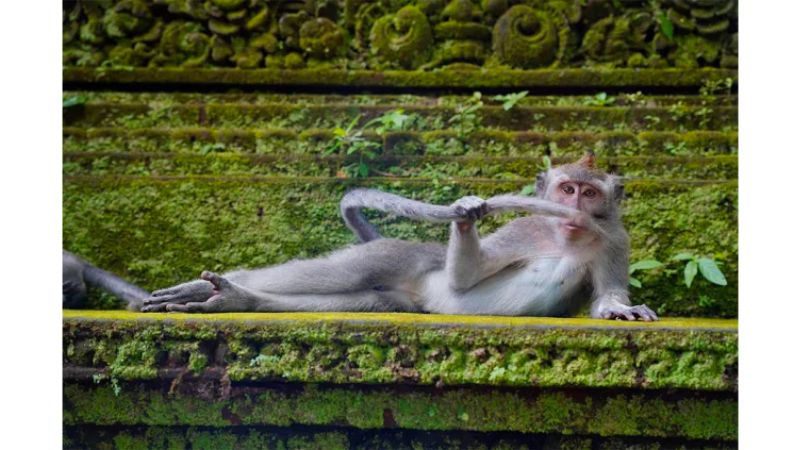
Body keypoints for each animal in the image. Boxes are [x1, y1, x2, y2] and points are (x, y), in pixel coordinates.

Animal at [139, 154, 656, 320]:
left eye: (589, 192)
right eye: (567, 189)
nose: (576, 210)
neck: (565, 238)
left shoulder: (615, 240)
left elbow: (607, 293)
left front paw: (621, 309)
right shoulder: (524, 229)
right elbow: (467, 279)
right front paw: (467, 212)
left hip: (402, 298)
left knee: (362, 298)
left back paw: (239, 300)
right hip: (397, 254)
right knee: (338, 274)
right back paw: (215, 287)